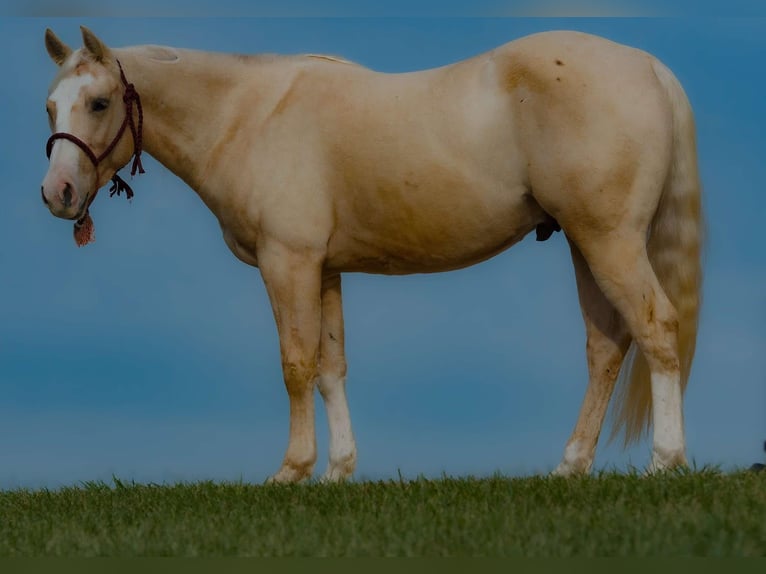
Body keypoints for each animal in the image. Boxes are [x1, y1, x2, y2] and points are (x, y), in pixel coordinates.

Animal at [40, 28, 704, 486]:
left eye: (98, 103)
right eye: (51, 105)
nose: (58, 193)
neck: (247, 113)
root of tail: (647, 65)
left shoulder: (288, 263)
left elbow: (296, 364)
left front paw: (292, 470)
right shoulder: (325, 270)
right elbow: (331, 367)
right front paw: (339, 471)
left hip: (609, 240)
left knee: (657, 328)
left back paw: (665, 460)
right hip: (585, 244)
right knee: (606, 348)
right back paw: (570, 466)